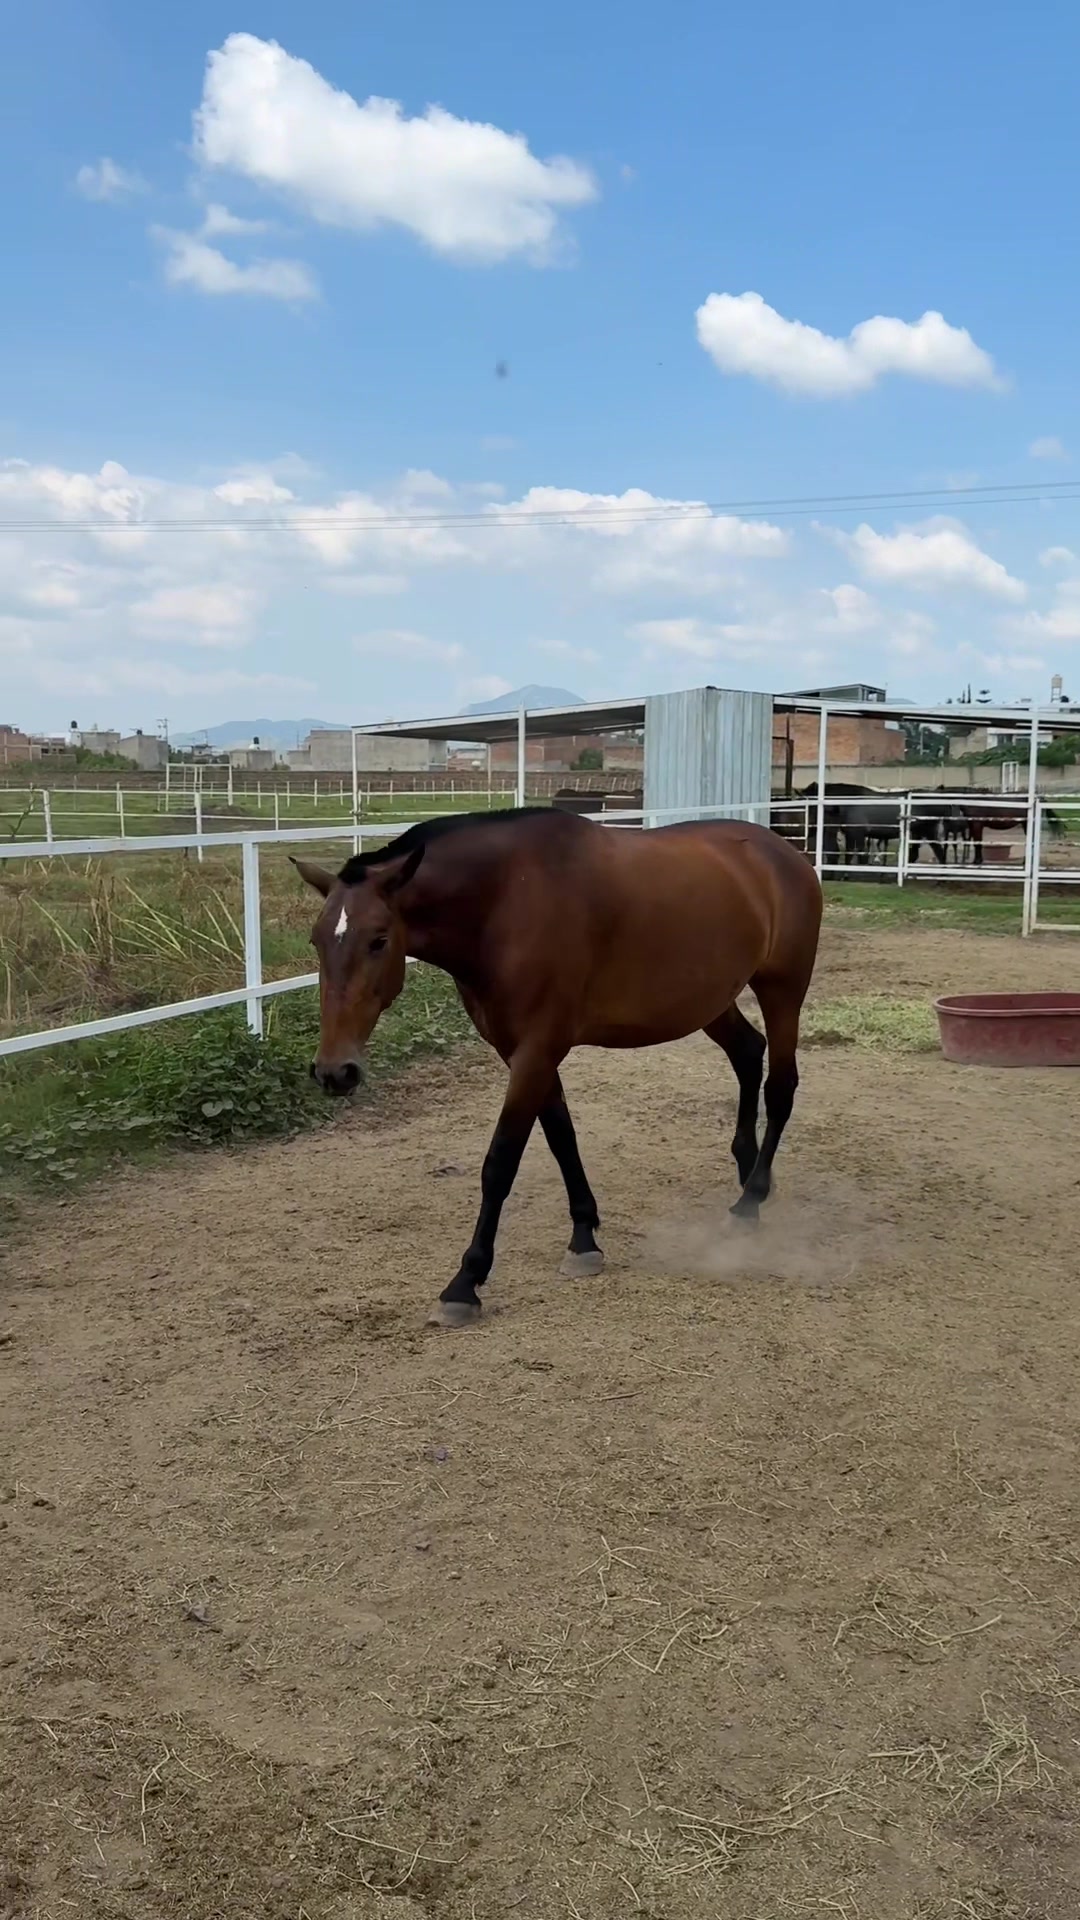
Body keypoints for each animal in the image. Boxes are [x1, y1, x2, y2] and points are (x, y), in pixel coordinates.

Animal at [294, 807, 823, 1329]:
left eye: (379, 940)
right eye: (316, 940)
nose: (334, 1071)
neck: (505, 901)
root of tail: (785, 853)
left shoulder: (536, 1050)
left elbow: (501, 1162)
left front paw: (465, 1283)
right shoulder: (523, 1052)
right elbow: (561, 1137)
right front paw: (584, 1238)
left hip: (782, 989)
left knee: (781, 1086)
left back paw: (750, 1200)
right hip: (709, 1001)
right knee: (748, 1053)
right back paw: (748, 1172)